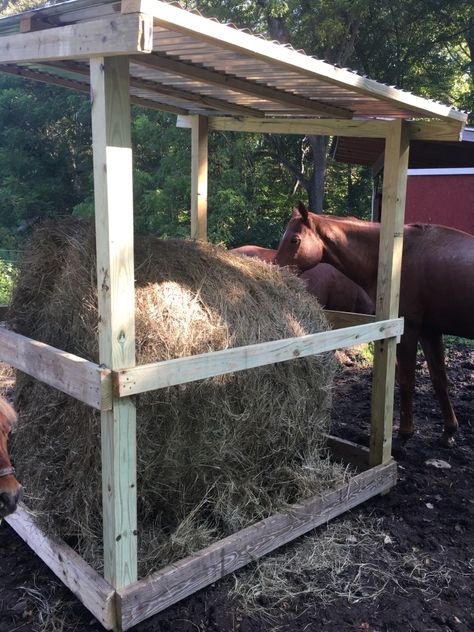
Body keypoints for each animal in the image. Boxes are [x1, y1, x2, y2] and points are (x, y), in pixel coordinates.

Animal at [274, 202, 474, 444]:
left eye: (294, 240)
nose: (273, 268)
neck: (400, 257)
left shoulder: (409, 332)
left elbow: (406, 381)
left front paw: (405, 434)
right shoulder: (430, 332)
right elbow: (439, 380)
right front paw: (449, 431)